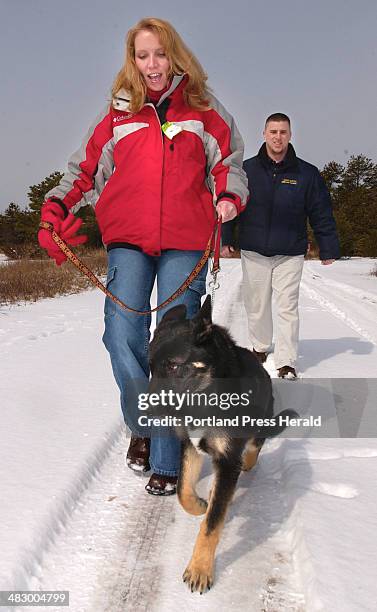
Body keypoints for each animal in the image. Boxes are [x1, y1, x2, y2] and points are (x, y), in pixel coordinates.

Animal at [148, 296, 296, 592]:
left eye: (173, 365)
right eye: (149, 366)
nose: (144, 410)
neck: (205, 394)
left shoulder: (227, 460)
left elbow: (212, 524)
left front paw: (200, 569)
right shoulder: (190, 447)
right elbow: (183, 491)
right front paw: (199, 505)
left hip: (259, 420)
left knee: (256, 443)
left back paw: (248, 462)